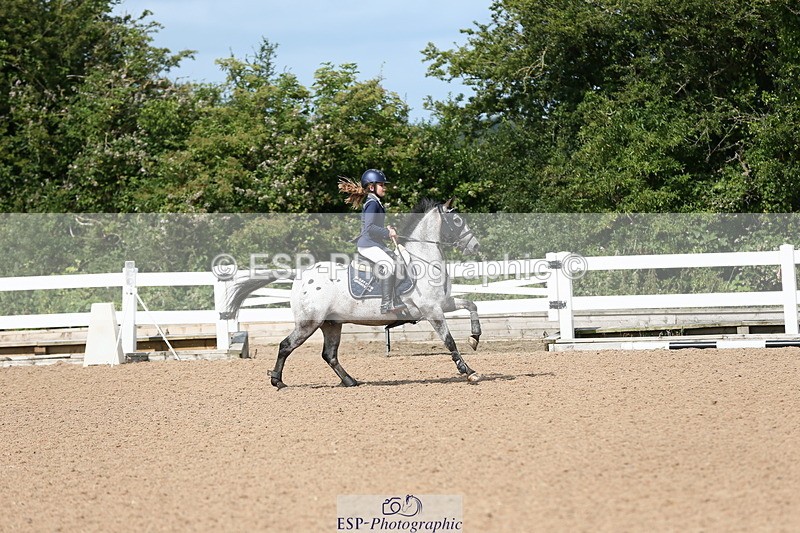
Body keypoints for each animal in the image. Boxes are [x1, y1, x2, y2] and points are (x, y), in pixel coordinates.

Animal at [226, 198, 483, 389]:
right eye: (457, 220)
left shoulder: (442, 304)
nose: (475, 246)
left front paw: (474, 338)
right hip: (309, 323)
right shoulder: (431, 310)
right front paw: (469, 371)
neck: (423, 260)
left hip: (331, 324)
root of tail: (299, 275)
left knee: (329, 354)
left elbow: (471, 304)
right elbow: (449, 341)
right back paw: (277, 381)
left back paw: (350, 381)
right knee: (286, 345)